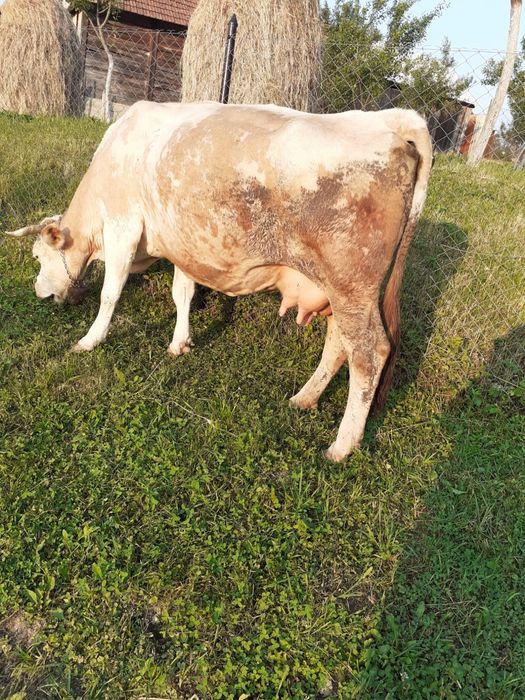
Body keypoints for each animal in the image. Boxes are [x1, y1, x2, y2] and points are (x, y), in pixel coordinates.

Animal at [7, 101, 432, 461]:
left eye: (37, 257)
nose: (39, 293)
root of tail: (388, 119)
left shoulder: (122, 225)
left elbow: (111, 293)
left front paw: (90, 340)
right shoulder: (182, 243)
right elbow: (182, 292)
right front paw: (180, 342)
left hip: (351, 285)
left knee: (369, 353)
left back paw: (342, 445)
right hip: (335, 289)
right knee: (339, 343)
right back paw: (305, 398)